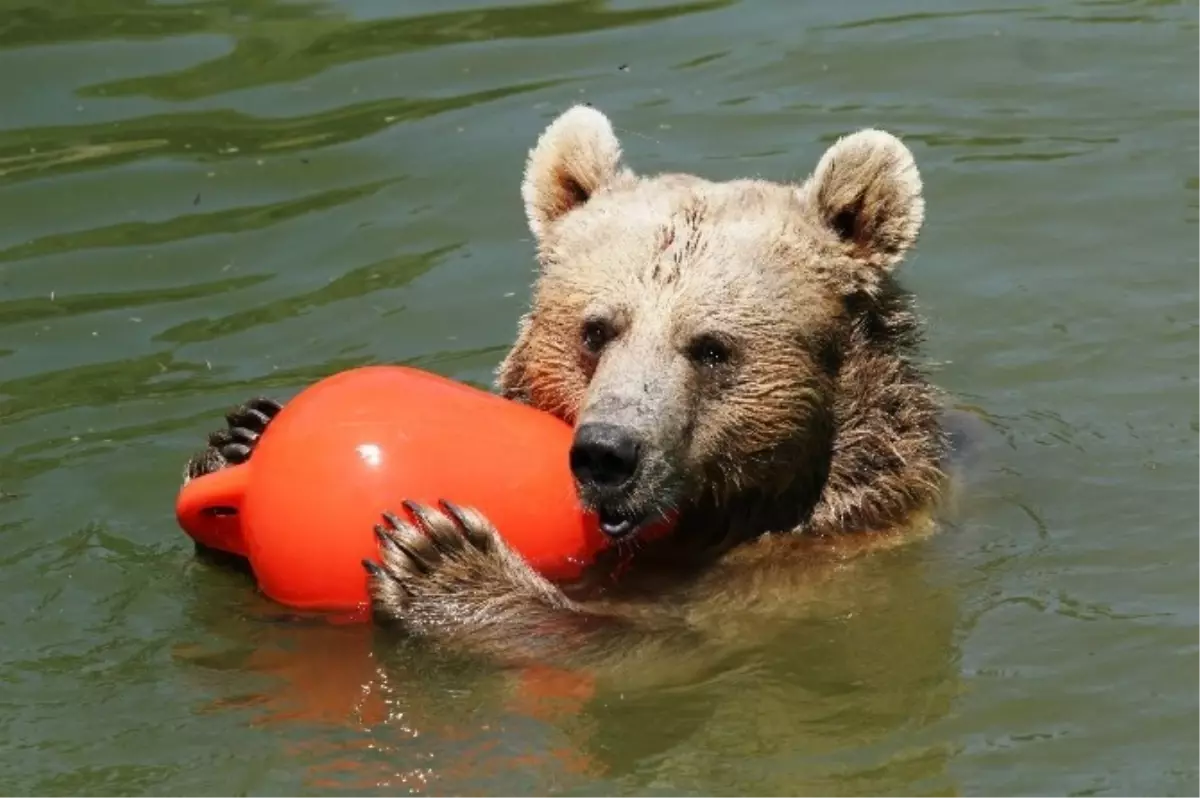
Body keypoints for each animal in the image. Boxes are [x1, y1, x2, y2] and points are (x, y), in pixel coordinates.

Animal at [184, 104, 945, 667]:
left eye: (710, 347)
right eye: (596, 329)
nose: (609, 453)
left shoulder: (810, 567)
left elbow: (660, 647)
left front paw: (439, 558)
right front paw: (241, 436)